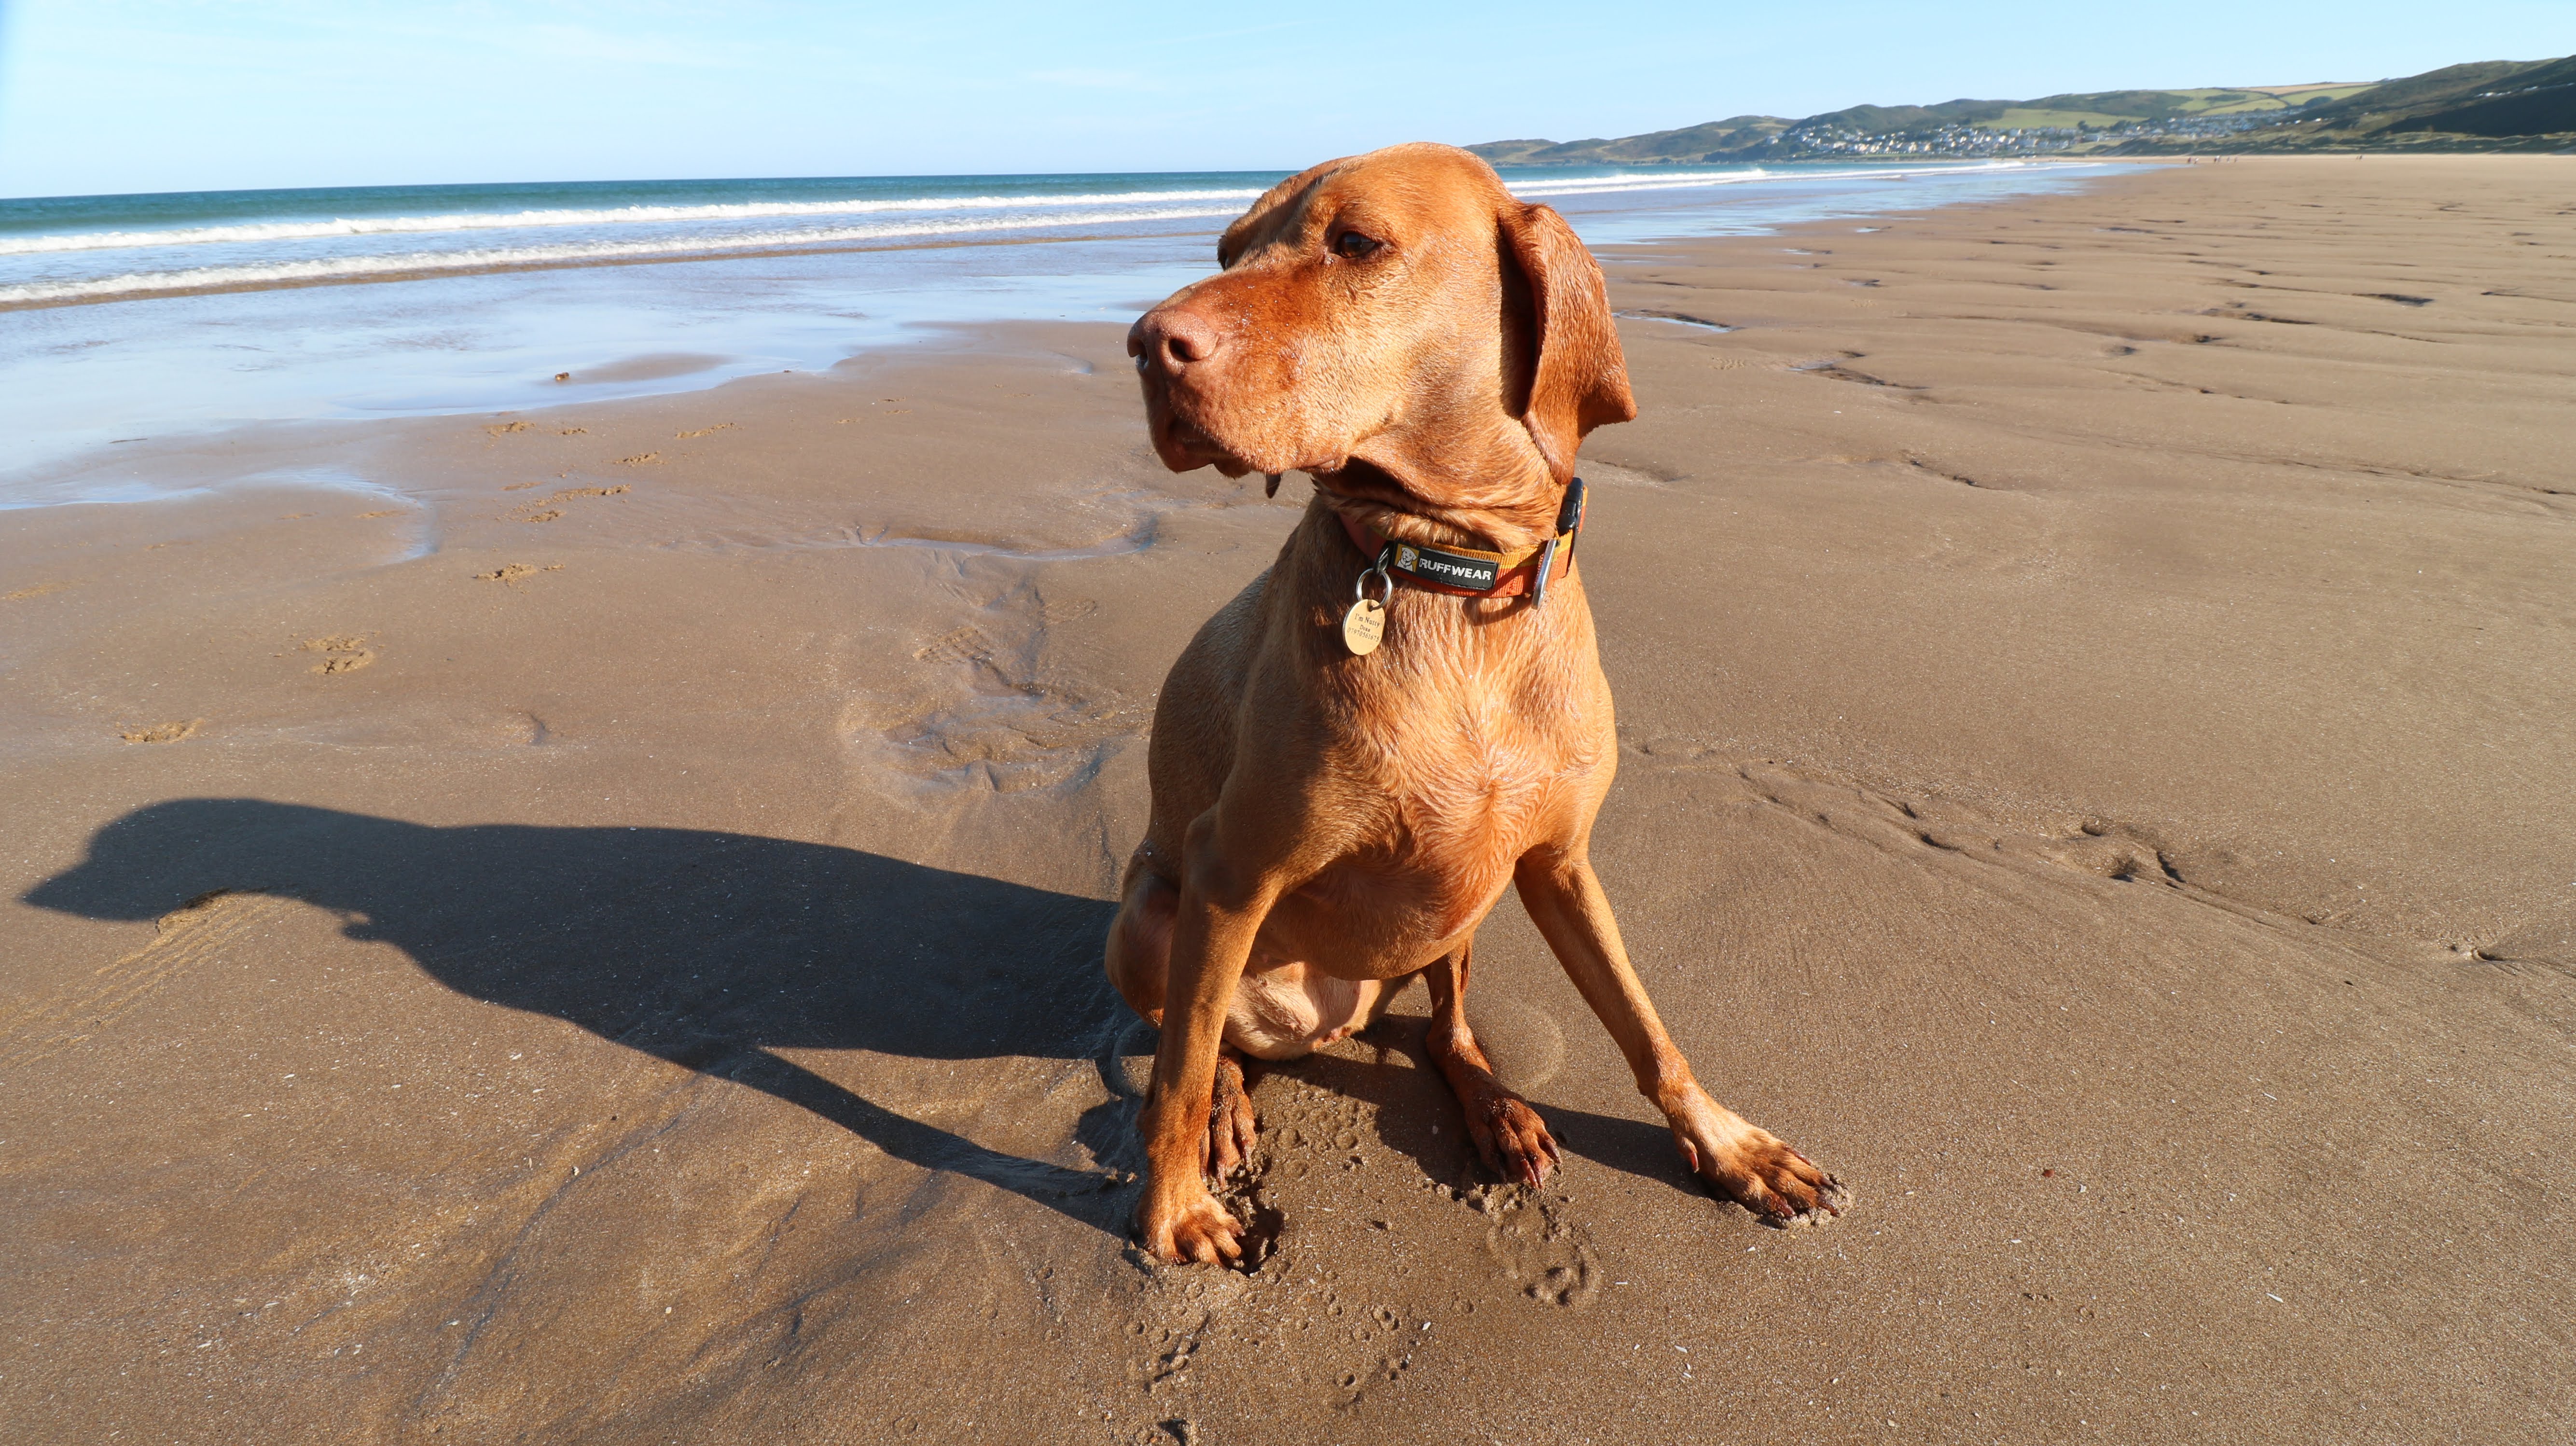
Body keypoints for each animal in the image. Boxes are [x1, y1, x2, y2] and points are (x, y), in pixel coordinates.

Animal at [1108, 143, 1844, 1265]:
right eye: (1227, 251)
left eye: (1355, 242)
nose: (1146, 344)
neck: (1448, 574)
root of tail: (1318, 1023)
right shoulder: (1229, 871)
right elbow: (1178, 1078)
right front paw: (1171, 1212)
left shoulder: (1559, 861)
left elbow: (1647, 1028)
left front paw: (1727, 1145)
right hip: (1150, 917)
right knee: (1197, 1044)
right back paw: (1233, 1106)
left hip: (1465, 895)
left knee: (1446, 1028)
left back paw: (1494, 1107)